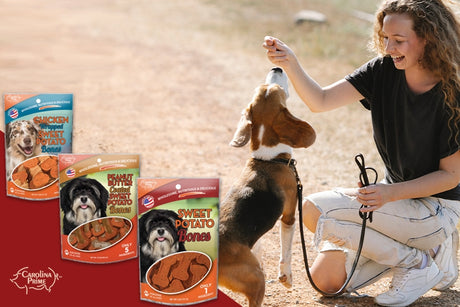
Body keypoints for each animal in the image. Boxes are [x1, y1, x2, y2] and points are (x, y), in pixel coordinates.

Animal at [219, 68, 316, 306]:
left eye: (263, 88)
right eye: (277, 89)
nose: (277, 68)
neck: (268, 158)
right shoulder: (289, 215)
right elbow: (286, 250)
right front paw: (286, 278)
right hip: (256, 281)